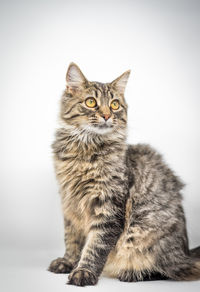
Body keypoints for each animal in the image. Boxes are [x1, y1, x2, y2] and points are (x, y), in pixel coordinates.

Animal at [47, 63, 200, 286]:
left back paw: (133, 273)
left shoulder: (108, 206)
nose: (106, 115)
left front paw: (84, 272)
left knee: (169, 270)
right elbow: (72, 239)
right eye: (91, 102)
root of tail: (186, 253)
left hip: (146, 234)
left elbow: (95, 246)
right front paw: (68, 262)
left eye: (115, 105)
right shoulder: (70, 204)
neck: (84, 150)